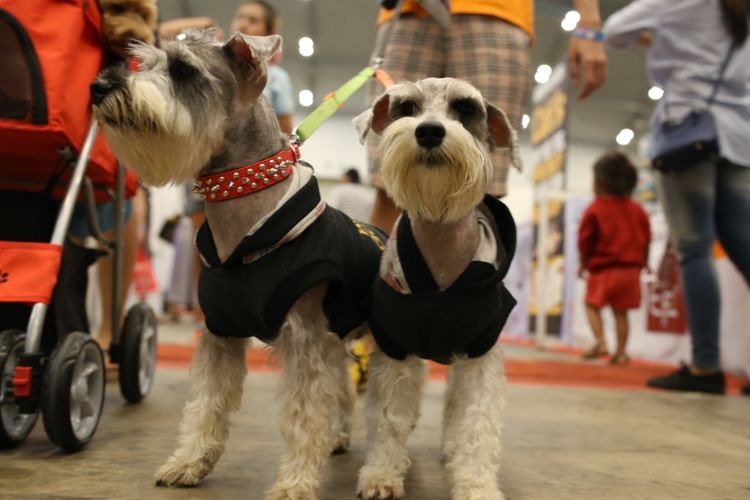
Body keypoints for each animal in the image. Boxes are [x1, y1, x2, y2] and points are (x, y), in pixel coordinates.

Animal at [92, 32, 388, 500]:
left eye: (183, 70)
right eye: (145, 62)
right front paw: (189, 462)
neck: (243, 222)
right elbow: (206, 404)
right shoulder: (221, 333)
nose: (99, 86)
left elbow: (305, 415)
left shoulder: (307, 341)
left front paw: (295, 482)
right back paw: (339, 437)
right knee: (342, 388)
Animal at [354, 76, 520, 498]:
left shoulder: (480, 356)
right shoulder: (395, 350)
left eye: (466, 108)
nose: (429, 131)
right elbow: (389, 418)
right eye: (406, 108)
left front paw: (476, 485)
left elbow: (475, 422)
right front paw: (381, 475)